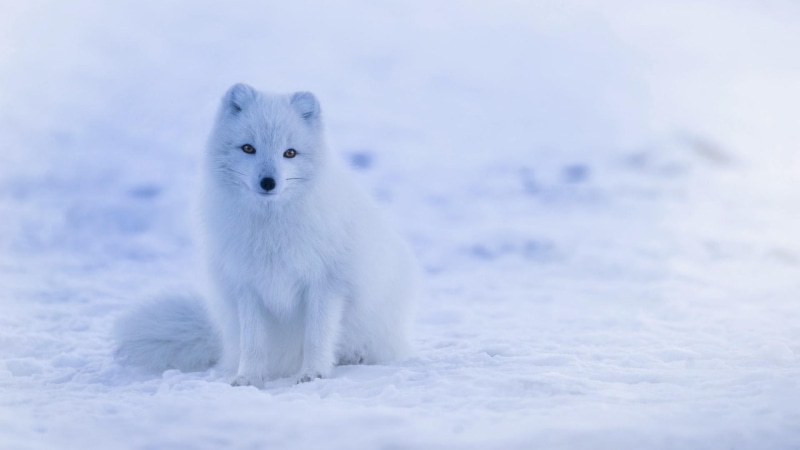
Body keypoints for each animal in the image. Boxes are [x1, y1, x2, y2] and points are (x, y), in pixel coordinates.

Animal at [114, 84, 418, 386]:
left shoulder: (325, 284)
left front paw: (313, 373)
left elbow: (317, 336)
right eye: (249, 148)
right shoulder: (247, 286)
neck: (271, 228)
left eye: (290, 153)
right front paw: (248, 378)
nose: (268, 182)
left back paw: (353, 356)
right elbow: (253, 342)